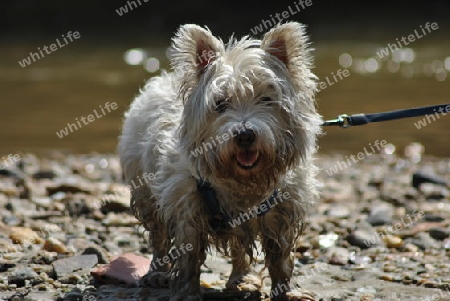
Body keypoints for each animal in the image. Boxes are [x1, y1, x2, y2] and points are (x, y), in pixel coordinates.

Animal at [119, 22, 322, 298]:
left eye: (266, 99)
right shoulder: (187, 208)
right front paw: (187, 293)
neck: (243, 183)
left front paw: (286, 291)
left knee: (239, 248)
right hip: (146, 193)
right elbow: (188, 257)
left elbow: (280, 258)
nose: (245, 135)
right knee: (158, 236)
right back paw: (157, 273)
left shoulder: (283, 211)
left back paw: (241, 279)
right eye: (220, 103)